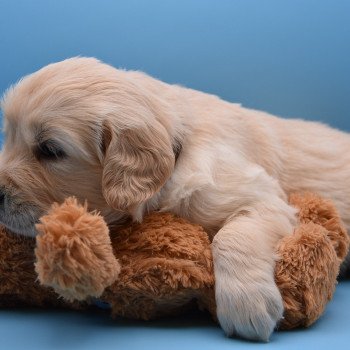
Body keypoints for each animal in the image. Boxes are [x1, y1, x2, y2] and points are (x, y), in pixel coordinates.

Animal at [0, 56, 350, 340]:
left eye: (50, 150)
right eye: (9, 135)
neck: (178, 147)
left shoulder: (264, 197)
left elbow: (230, 237)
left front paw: (246, 304)